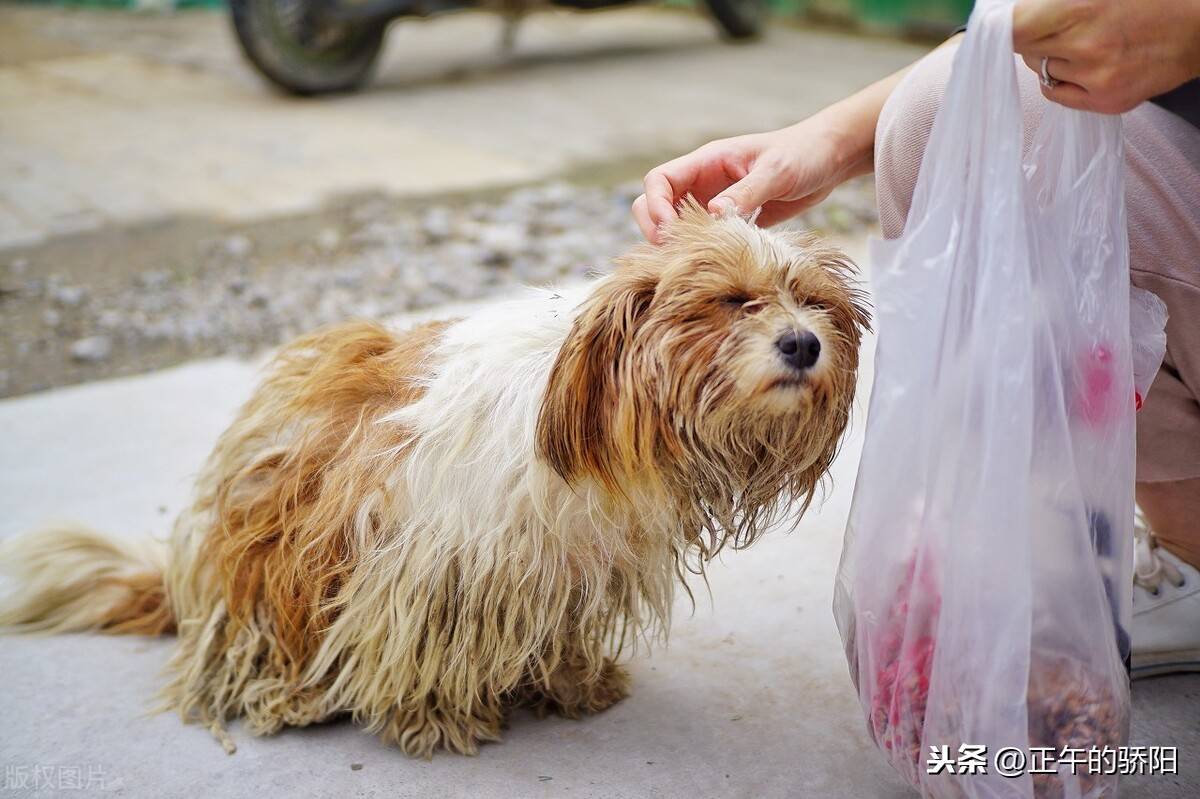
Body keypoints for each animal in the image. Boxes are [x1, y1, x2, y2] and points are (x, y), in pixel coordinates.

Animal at [0, 199, 868, 753]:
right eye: (731, 301)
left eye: (814, 301)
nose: (803, 344)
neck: (597, 410)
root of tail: (189, 581)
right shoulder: (436, 558)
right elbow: (424, 639)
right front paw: (435, 717)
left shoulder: (570, 564)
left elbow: (559, 624)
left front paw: (569, 678)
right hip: (275, 552)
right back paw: (287, 692)